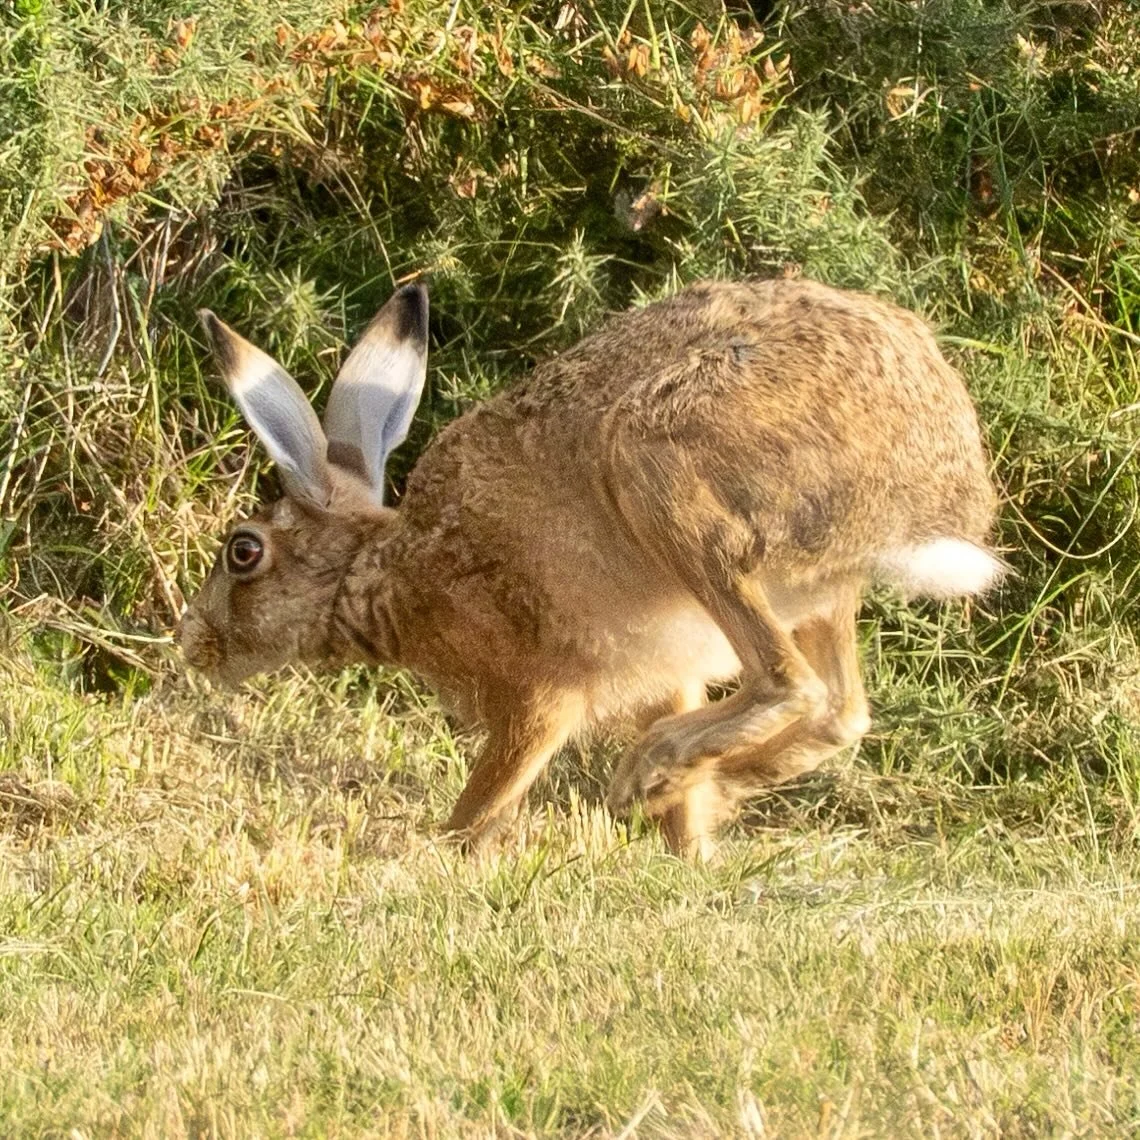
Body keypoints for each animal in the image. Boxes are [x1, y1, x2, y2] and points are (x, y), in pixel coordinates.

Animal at [179, 277, 1002, 858]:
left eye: (243, 551)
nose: (192, 644)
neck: (375, 571)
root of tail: (938, 486)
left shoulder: (536, 690)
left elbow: (495, 786)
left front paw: (443, 849)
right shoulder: (667, 675)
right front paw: (691, 850)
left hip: (659, 477)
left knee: (787, 684)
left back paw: (649, 772)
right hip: (814, 589)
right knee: (841, 710)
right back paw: (702, 786)